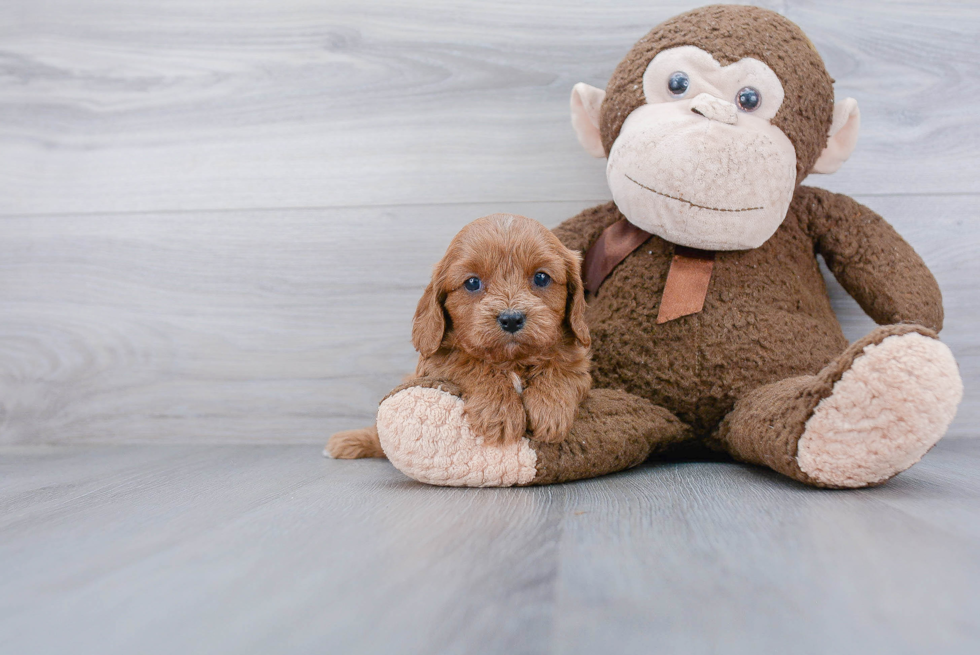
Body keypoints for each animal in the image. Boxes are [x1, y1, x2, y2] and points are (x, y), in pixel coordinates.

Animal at [328, 213, 588, 458]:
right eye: (472, 283)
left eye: (541, 278)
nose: (511, 319)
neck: (510, 360)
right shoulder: (435, 364)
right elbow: (470, 363)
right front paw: (499, 411)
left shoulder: (578, 363)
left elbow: (561, 368)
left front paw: (550, 407)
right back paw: (348, 441)